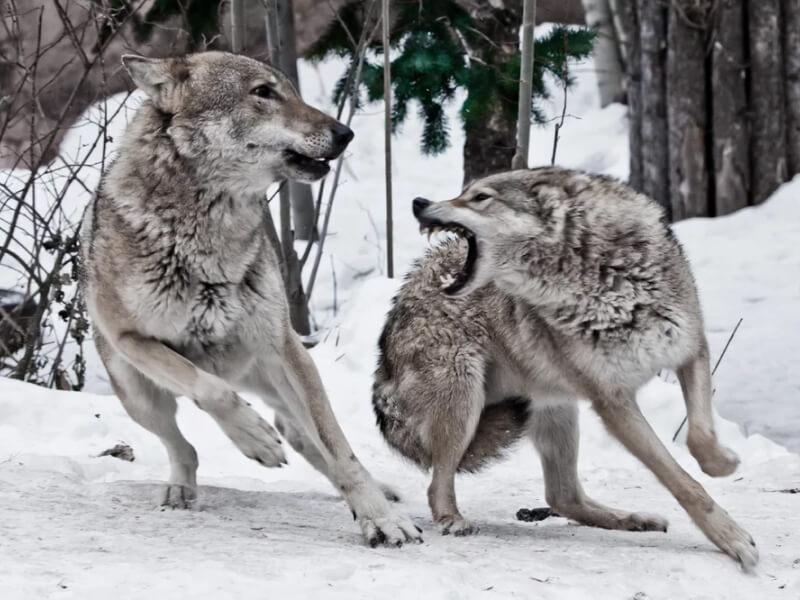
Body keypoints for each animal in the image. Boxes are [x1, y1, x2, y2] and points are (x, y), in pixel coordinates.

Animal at [81, 51, 421, 547]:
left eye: (293, 91)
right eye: (263, 92)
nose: (345, 133)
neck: (205, 235)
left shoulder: (283, 347)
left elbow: (340, 449)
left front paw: (381, 517)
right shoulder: (129, 337)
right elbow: (209, 388)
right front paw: (252, 438)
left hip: (288, 378)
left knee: (308, 439)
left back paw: (376, 491)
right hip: (138, 395)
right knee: (184, 445)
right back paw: (184, 487)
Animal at [373, 167, 758, 569]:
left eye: (479, 197)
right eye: (467, 194)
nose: (419, 203)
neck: (607, 280)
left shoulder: (690, 350)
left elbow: (700, 436)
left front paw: (723, 464)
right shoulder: (613, 403)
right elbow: (682, 481)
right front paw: (732, 538)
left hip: (557, 409)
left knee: (562, 496)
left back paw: (633, 519)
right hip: (465, 403)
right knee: (438, 484)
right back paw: (453, 520)